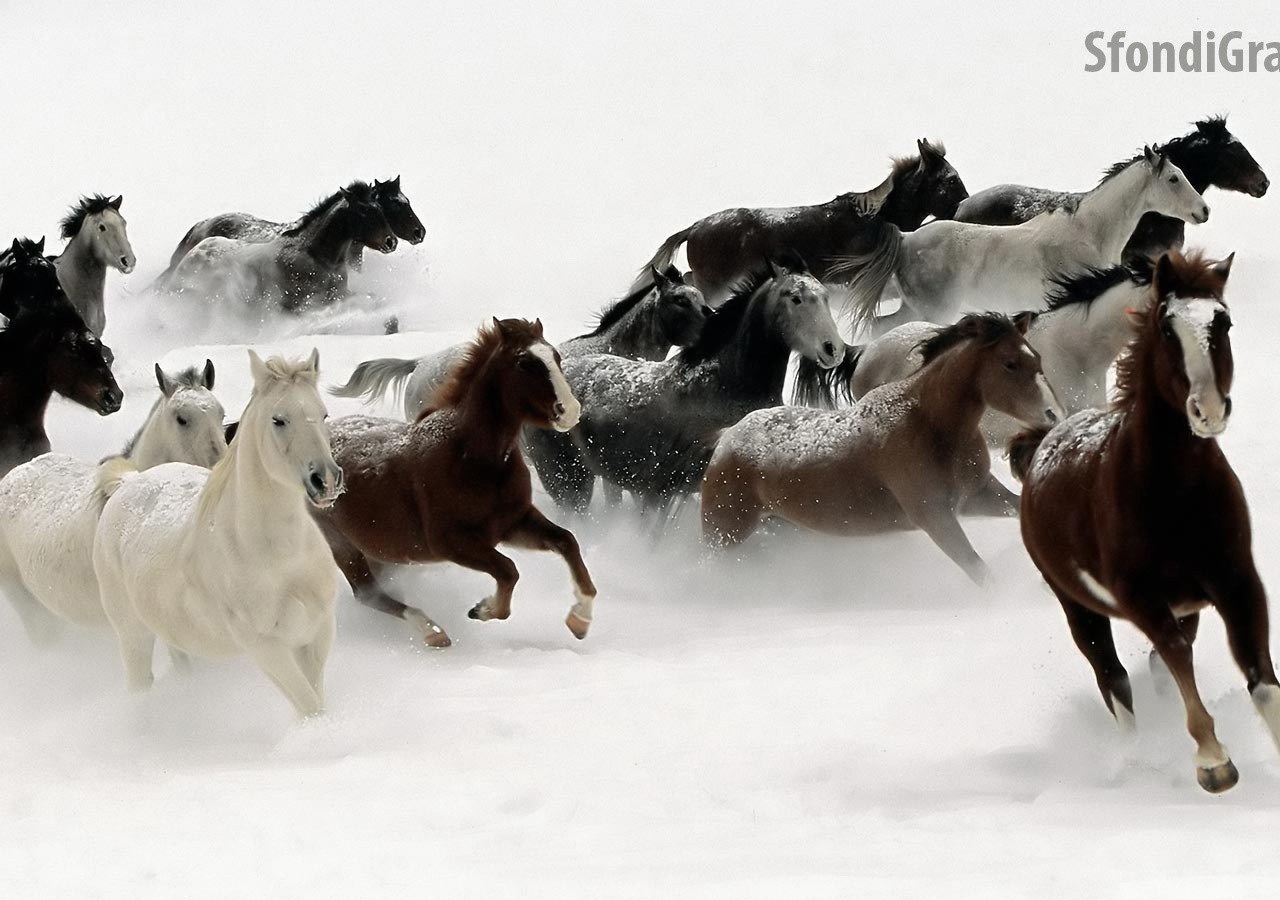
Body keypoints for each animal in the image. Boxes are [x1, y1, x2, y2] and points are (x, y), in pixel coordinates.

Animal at [93, 350, 343, 717]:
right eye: (278, 420)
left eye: (323, 414)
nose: (325, 480)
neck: (281, 559)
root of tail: (128, 482)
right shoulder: (267, 648)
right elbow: (310, 708)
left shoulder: (317, 633)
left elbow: (316, 701)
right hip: (133, 634)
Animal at [166, 183, 398, 311]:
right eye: (364, 211)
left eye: (380, 208)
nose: (391, 241)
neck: (316, 256)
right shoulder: (303, 303)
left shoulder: (341, 294)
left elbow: (372, 298)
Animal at [314, 318, 595, 648]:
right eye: (524, 362)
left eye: (555, 357)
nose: (570, 411)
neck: (471, 458)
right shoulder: (451, 542)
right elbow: (508, 571)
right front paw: (483, 610)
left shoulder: (512, 523)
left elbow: (566, 541)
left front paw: (580, 620)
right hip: (342, 545)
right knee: (367, 594)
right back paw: (433, 631)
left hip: (379, 551)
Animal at [702, 314, 1062, 582]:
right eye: (1009, 363)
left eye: (1037, 358)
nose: (1053, 414)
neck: (930, 424)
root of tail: (727, 438)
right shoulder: (934, 516)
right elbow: (978, 570)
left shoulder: (977, 496)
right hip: (724, 533)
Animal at [1009, 251, 1279, 793]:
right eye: (1166, 327)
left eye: (1223, 322)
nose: (1208, 410)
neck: (1175, 495)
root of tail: (1042, 441)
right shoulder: (1140, 598)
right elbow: (1173, 656)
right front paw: (1213, 762)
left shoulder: (1238, 582)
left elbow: (1260, 678)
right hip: (1078, 606)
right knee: (1113, 677)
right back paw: (1135, 758)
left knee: (1157, 664)